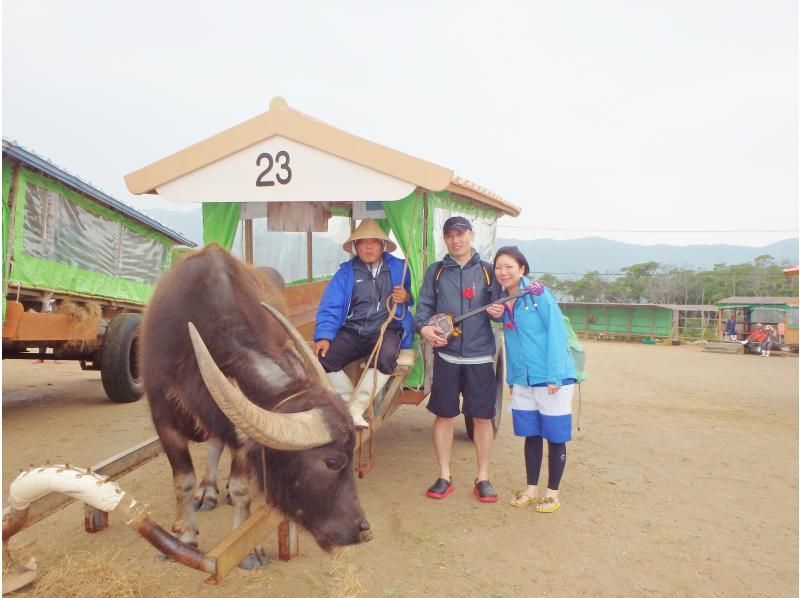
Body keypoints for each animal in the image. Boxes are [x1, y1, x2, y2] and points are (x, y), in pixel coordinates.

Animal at [141, 245, 372, 568]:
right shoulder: (163, 418)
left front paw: (249, 549)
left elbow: (241, 489)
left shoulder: (241, 436)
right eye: (332, 461)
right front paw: (184, 536)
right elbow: (183, 481)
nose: (362, 530)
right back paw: (207, 490)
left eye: (351, 456)